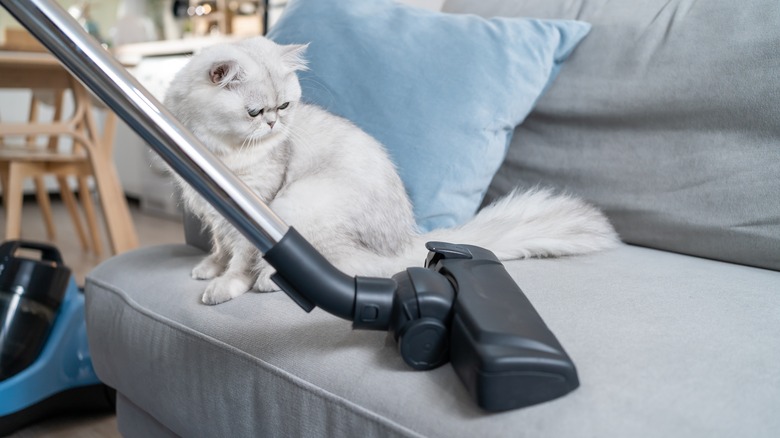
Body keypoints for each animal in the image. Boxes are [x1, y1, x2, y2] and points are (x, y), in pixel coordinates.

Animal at [165, 36, 620, 304]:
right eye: (255, 112)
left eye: (284, 106)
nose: (274, 125)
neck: (220, 153)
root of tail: (408, 238)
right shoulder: (212, 211)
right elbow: (219, 249)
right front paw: (208, 269)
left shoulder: (253, 205)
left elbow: (239, 259)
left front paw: (225, 285)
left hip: (299, 205)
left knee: (349, 270)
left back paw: (267, 281)